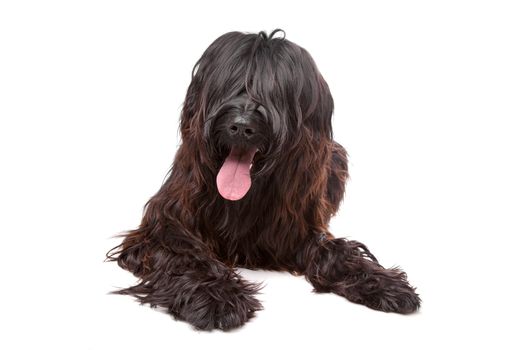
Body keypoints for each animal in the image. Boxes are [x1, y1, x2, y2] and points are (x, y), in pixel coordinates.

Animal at [105, 28, 418, 330]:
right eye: (231, 83)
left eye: (274, 92)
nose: (241, 127)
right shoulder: (163, 224)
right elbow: (185, 254)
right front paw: (217, 297)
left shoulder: (298, 226)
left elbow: (337, 252)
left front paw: (383, 283)